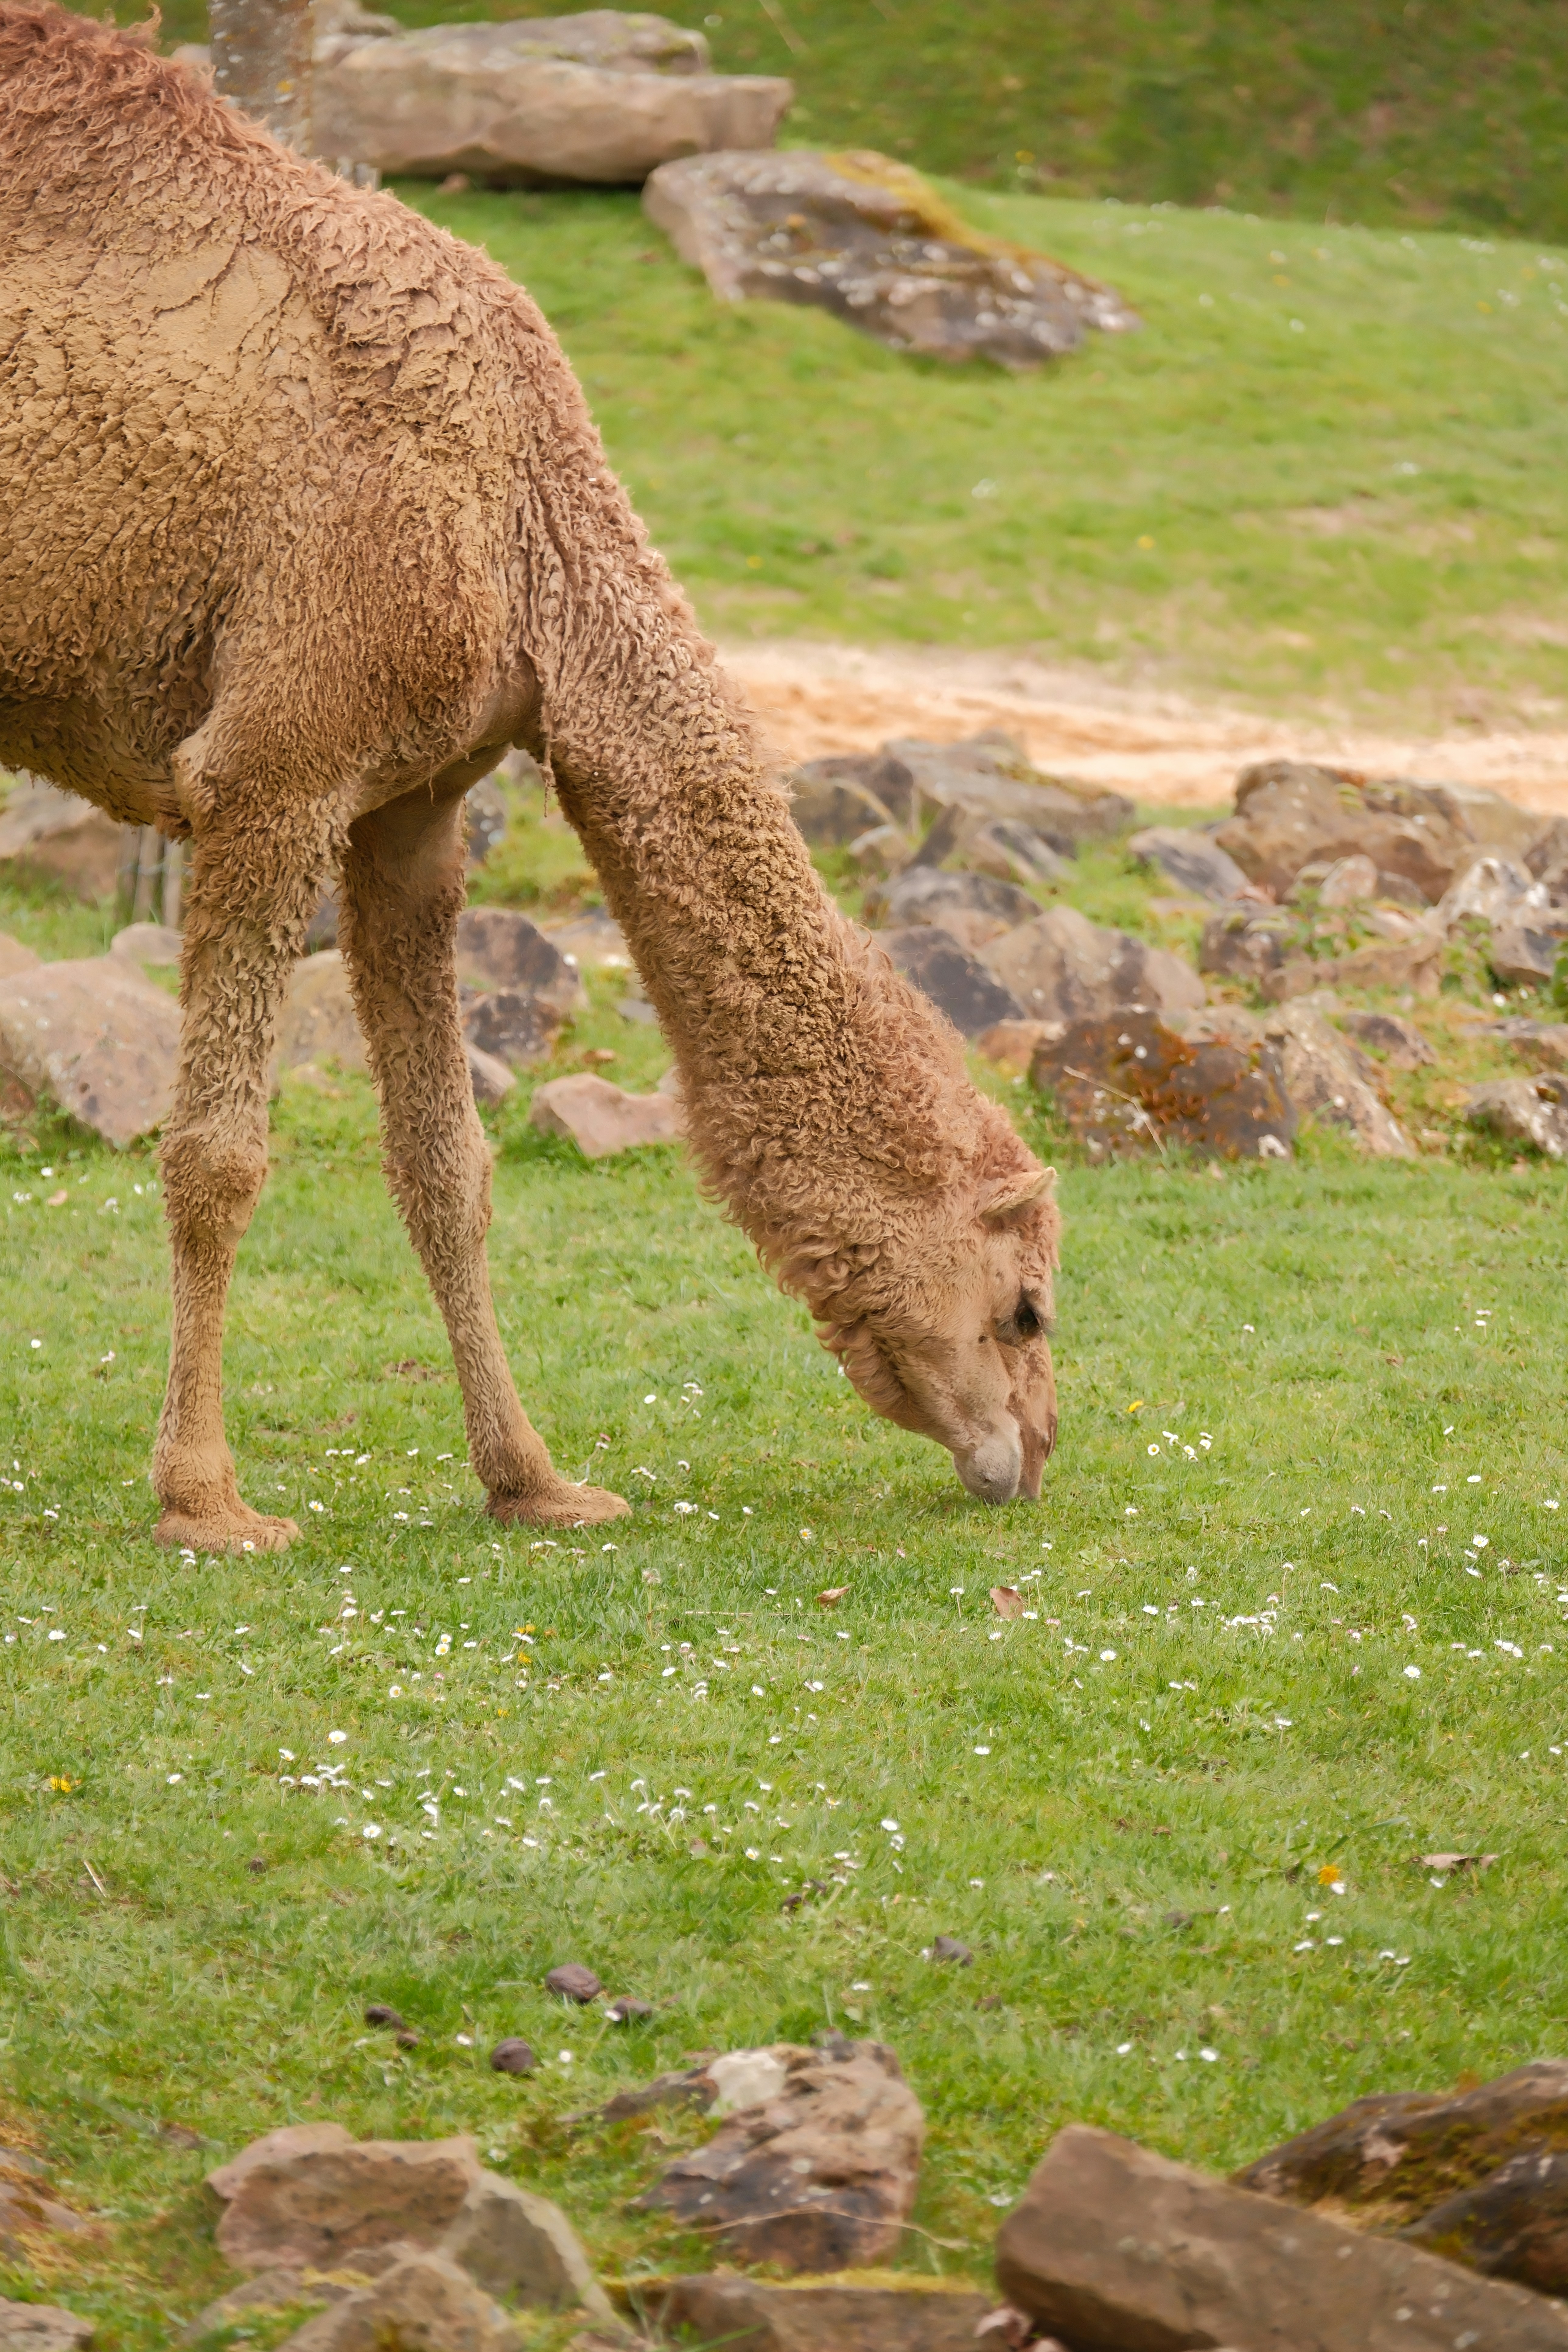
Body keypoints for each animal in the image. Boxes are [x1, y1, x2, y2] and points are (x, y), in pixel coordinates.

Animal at [0, 3, 1061, 1550]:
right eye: (1027, 1305)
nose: (1029, 1457)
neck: (524, 526)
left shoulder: (410, 806)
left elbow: (449, 1164)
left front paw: (538, 1482)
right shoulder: (273, 767)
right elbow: (219, 1155)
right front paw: (205, 1502)